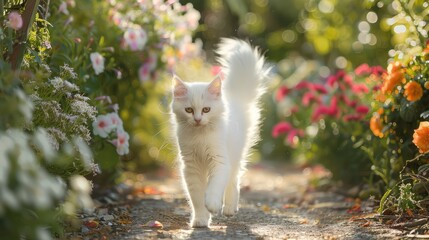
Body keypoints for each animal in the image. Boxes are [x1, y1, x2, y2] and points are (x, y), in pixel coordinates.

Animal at [170, 39, 268, 227]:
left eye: (206, 110)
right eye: (189, 110)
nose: (198, 119)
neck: (200, 137)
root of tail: (235, 98)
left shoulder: (219, 160)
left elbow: (214, 187)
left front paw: (213, 205)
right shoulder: (191, 167)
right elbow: (196, 198)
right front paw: (201, 219)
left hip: (236, 155)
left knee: (233, 181)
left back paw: (229, 208)